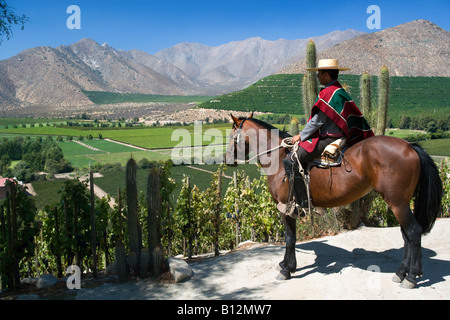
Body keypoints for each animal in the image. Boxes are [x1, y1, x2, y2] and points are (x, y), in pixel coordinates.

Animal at [225, 114, 442, 288]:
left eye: (232, 137)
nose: (227, 160)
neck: (278, 158)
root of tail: (409, 146)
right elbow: (290, 237)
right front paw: (286, 265)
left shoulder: (286, 207)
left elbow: (289, 238)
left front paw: (287, 269)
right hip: (400, 203)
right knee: (406, 236)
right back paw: (401, 273)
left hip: (398, 204)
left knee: (413, 233)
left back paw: (411, 277)